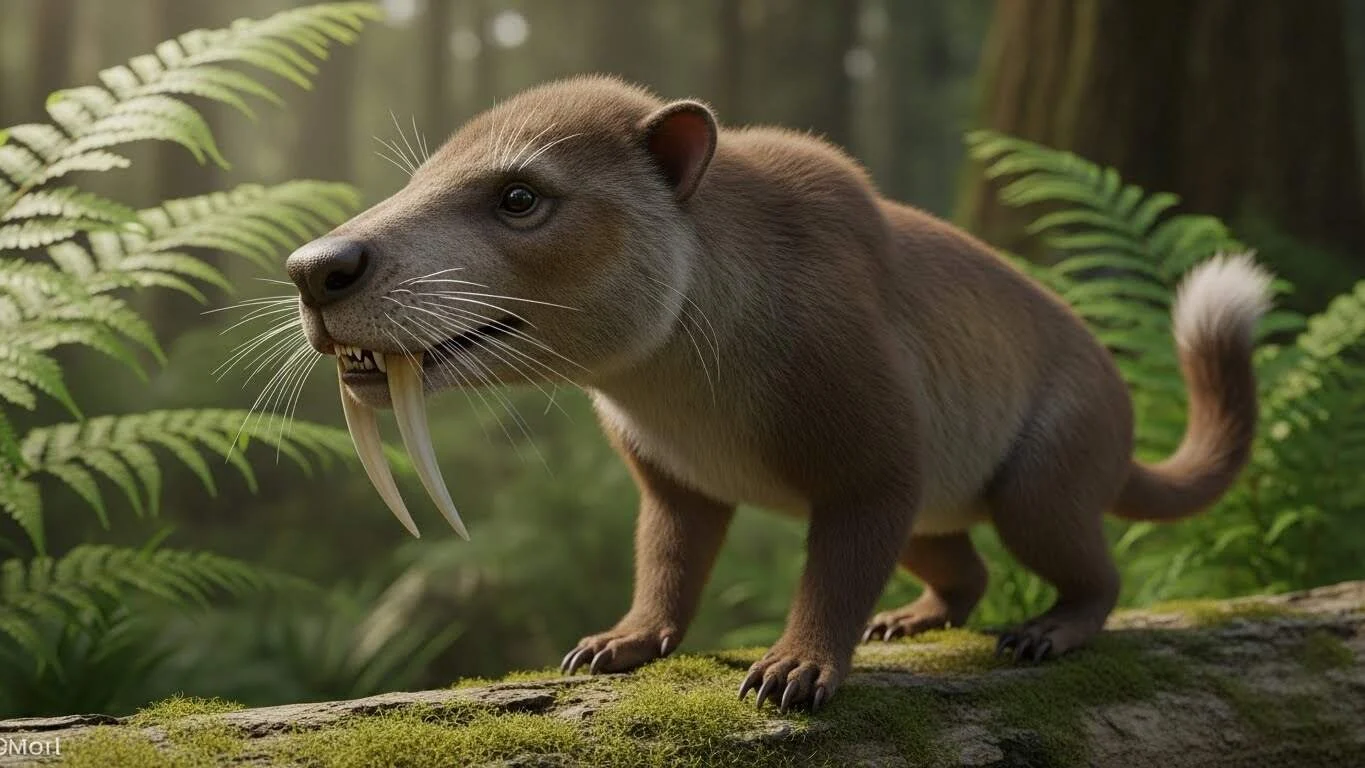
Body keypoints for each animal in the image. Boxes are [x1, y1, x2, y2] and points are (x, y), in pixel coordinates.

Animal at [285, 75, 1272, 713]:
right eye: (415, 181)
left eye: (520, 197)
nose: (313, 268)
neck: (664, 375)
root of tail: (1121, 405)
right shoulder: (676, 487)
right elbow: (665, 569)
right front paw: (617, 644)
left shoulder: (872, 472)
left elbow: (831, 578)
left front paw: (794, 672)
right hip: (935, 515)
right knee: (965, 572)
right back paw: (907, 623)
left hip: (1035, 492)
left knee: (1092, 576)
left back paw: (1044, 634)